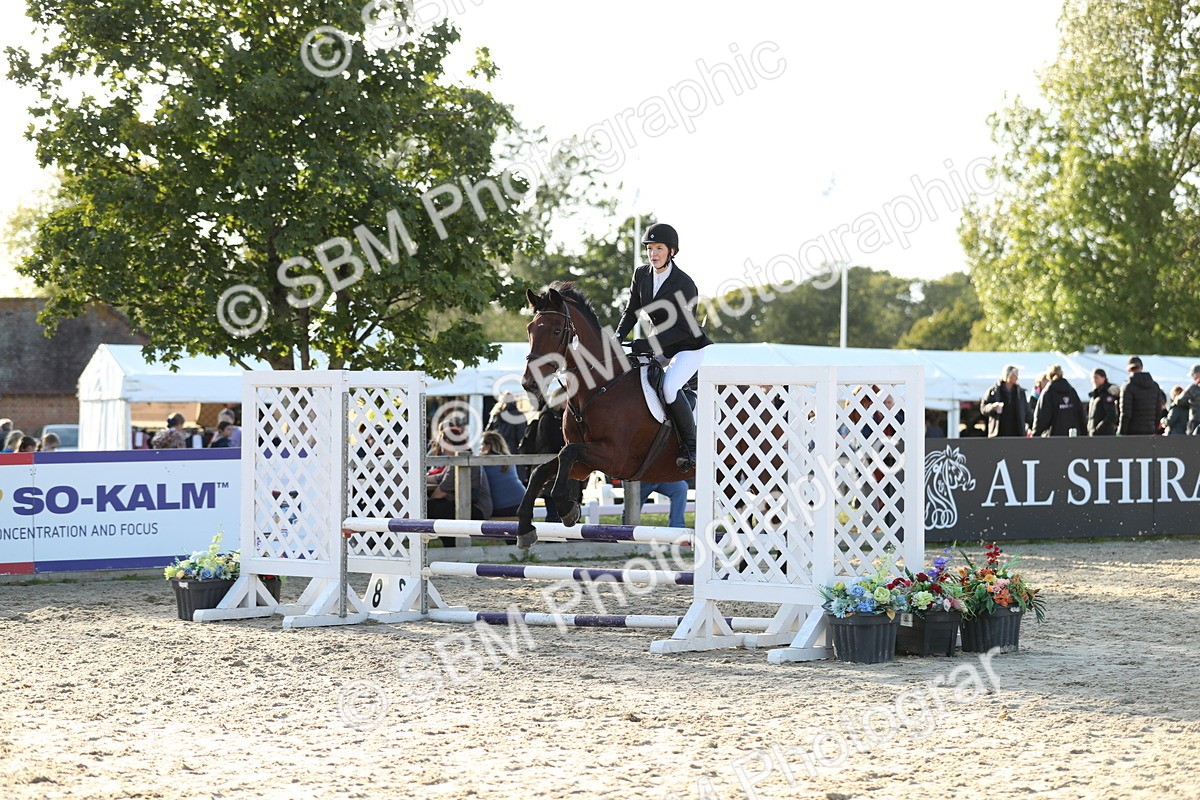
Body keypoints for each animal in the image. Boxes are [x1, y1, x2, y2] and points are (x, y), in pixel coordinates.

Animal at [517, 282, 693, 548]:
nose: (530, 384)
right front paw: (525, 528)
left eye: (557, 331)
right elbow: (542, 470)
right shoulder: (584, 464)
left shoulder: (615, 458)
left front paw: (567, 509)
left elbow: (567, 453)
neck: (601, 386)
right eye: (529, 329)